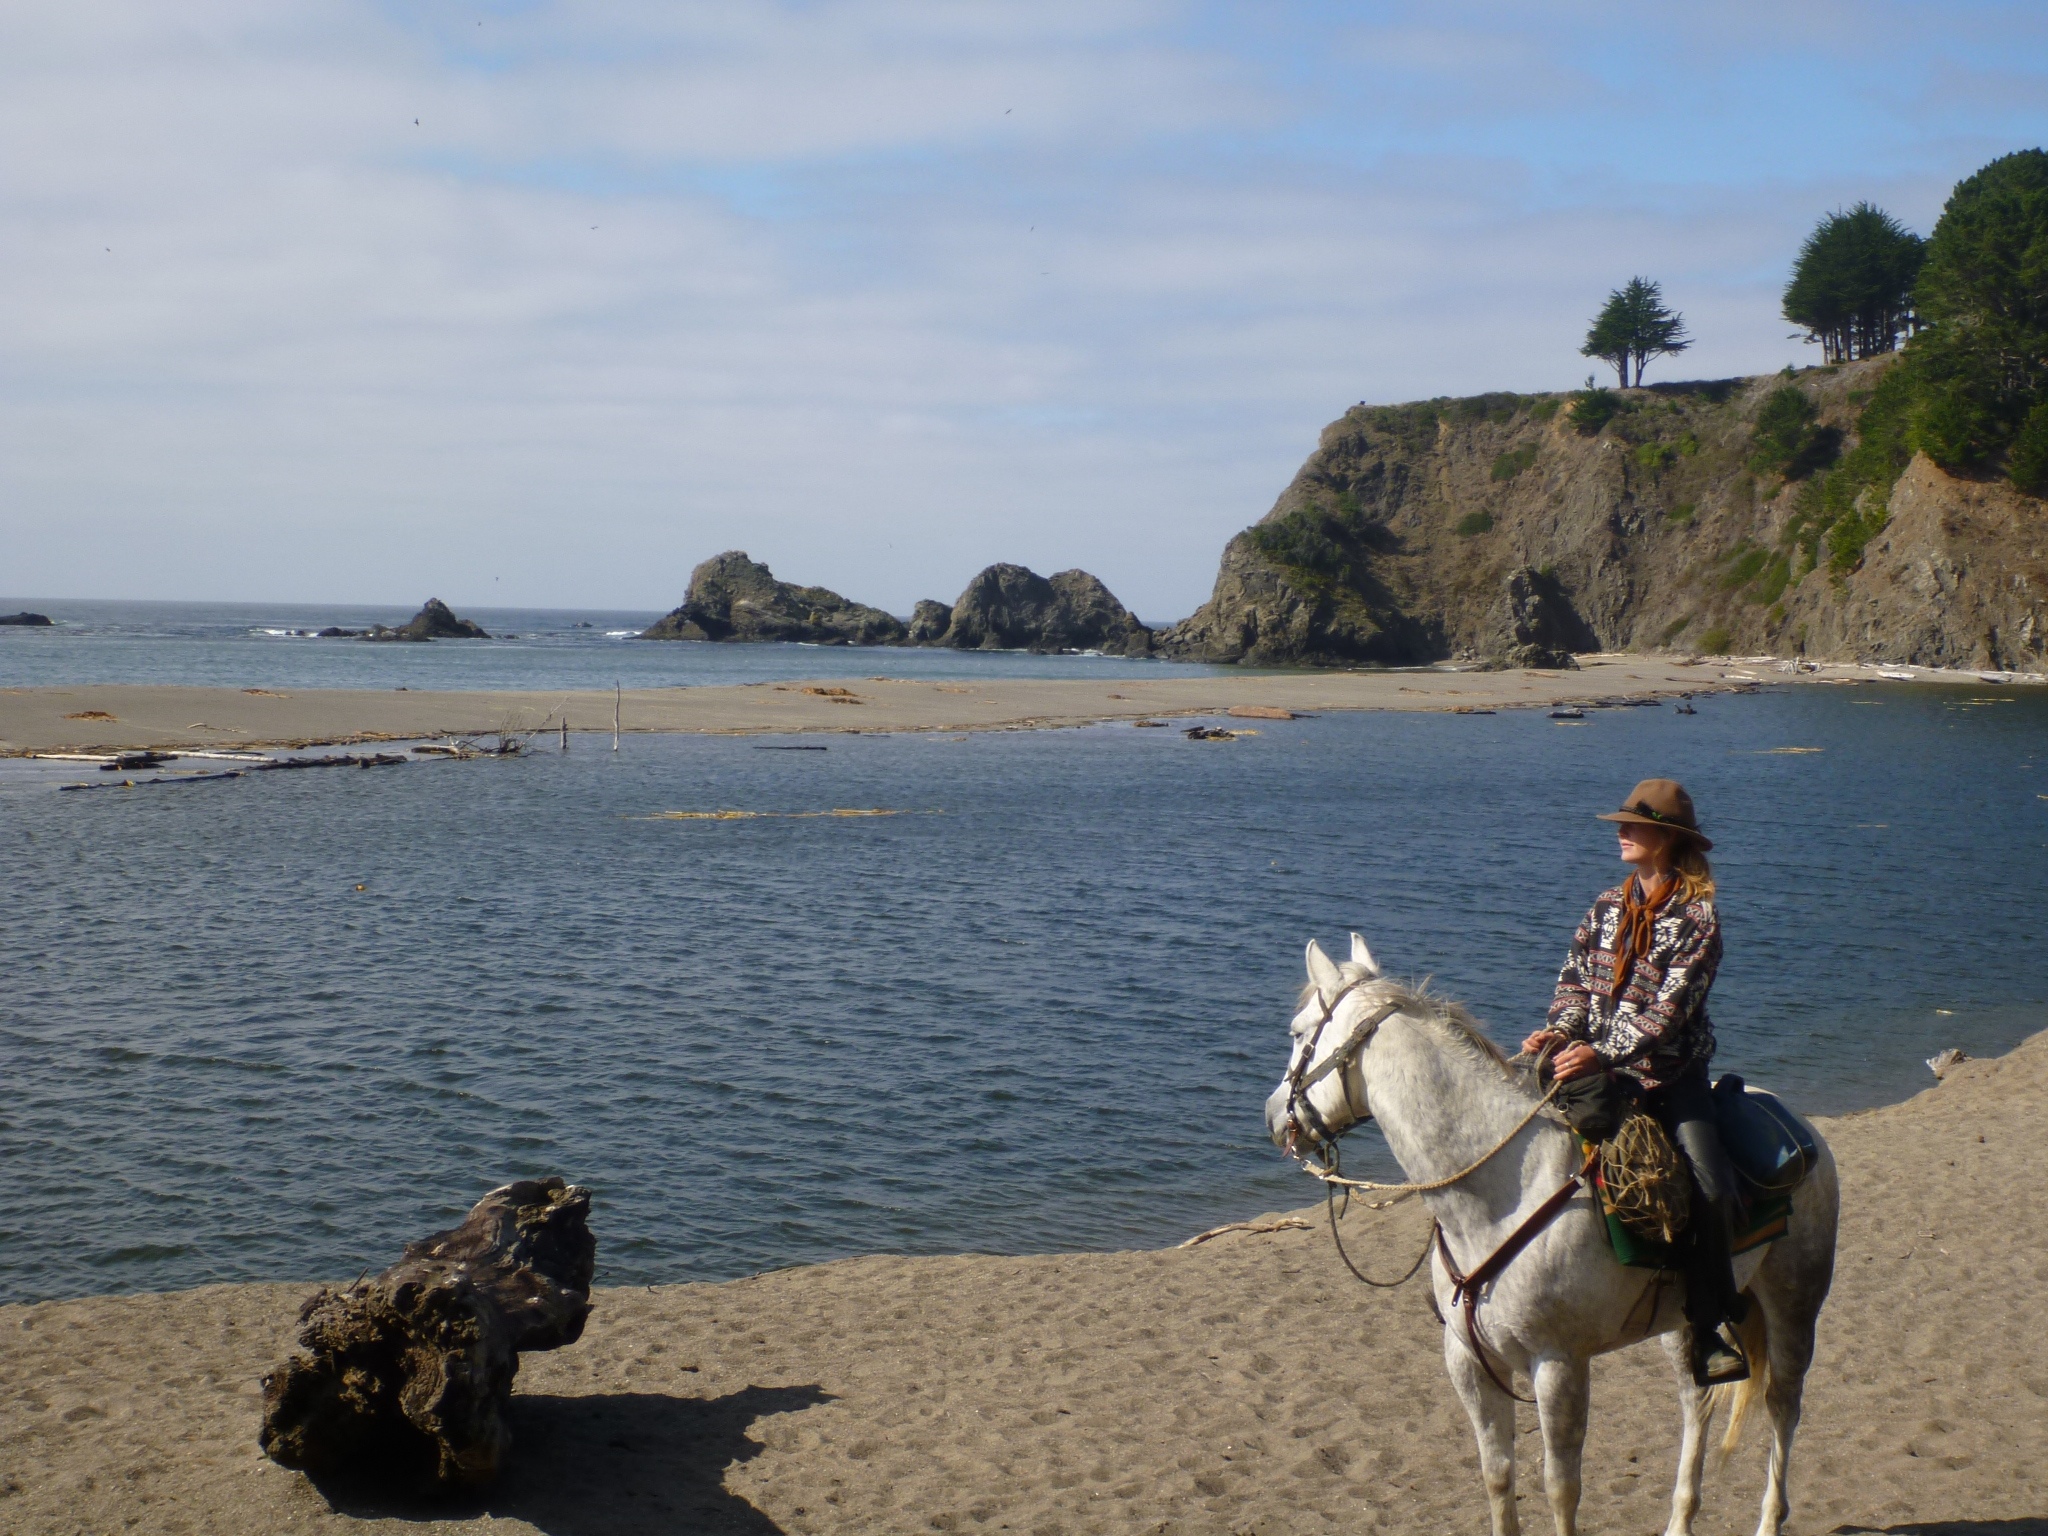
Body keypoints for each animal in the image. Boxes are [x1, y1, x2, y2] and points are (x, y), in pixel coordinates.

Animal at [1263, 936, 1838, 1536]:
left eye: (1298, 1031)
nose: (1275, 1116)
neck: (1500, 1194)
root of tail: (1799, 1126)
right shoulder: (1468, 1362)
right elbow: (1497, 1475)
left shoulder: (1558, 1365)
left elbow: (1560, 1487)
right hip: (1685, 1326)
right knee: (1697, 1401)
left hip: (1795, 1303)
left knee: (1783, 1404)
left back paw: (1769, 1517)